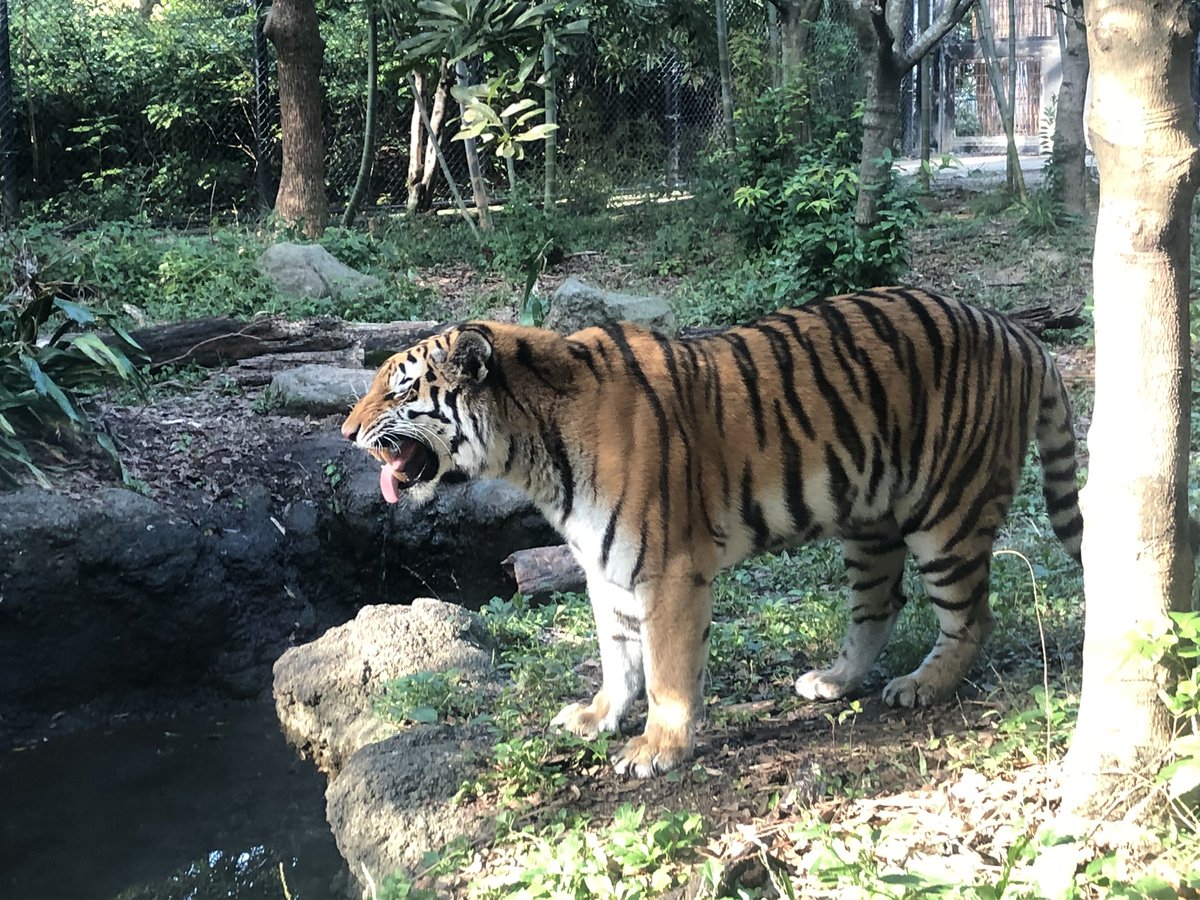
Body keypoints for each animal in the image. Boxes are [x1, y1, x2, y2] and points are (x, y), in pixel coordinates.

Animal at [341, 286, 1083, 778]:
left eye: (398, 390)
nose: (346, 432)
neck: (533, 452)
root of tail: (1020, 332)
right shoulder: (603, 567)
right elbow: (617, 655)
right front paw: (599, 717)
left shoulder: (667, 569)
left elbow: (668, 670)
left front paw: (656, 750)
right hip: (870, 522)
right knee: (880, 606)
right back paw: (835, 680)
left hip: (946, 514)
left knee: (971, 616)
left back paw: (924, 685)